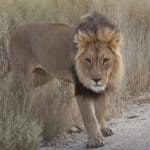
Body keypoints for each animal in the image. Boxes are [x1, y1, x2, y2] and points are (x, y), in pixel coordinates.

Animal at [8, 11, 123, 148]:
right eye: (87, 60)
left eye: (105, 60)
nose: (96, 80)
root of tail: (14, 31)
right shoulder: (82, 89)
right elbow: (90, 117)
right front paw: (95, 140)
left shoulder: (104, 85)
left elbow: (100, 110)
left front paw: (103, 130)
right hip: (22, 75)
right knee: (14, 94)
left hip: (41, 76)